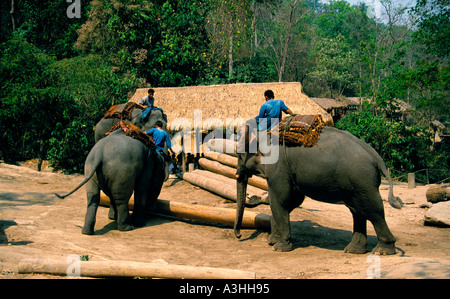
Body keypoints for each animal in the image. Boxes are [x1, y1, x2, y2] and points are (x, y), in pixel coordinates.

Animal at [234, 124, 402, 255]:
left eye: (240, 156)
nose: (239, 236)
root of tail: (375, 155)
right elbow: (292, 201)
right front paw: (272, 242)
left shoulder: (279, 168)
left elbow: (279, 200)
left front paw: (278, 247)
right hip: (356, 183)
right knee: (357, 210)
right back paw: (353, 250)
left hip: (362, 179)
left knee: (373, 210)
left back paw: (382, 251)